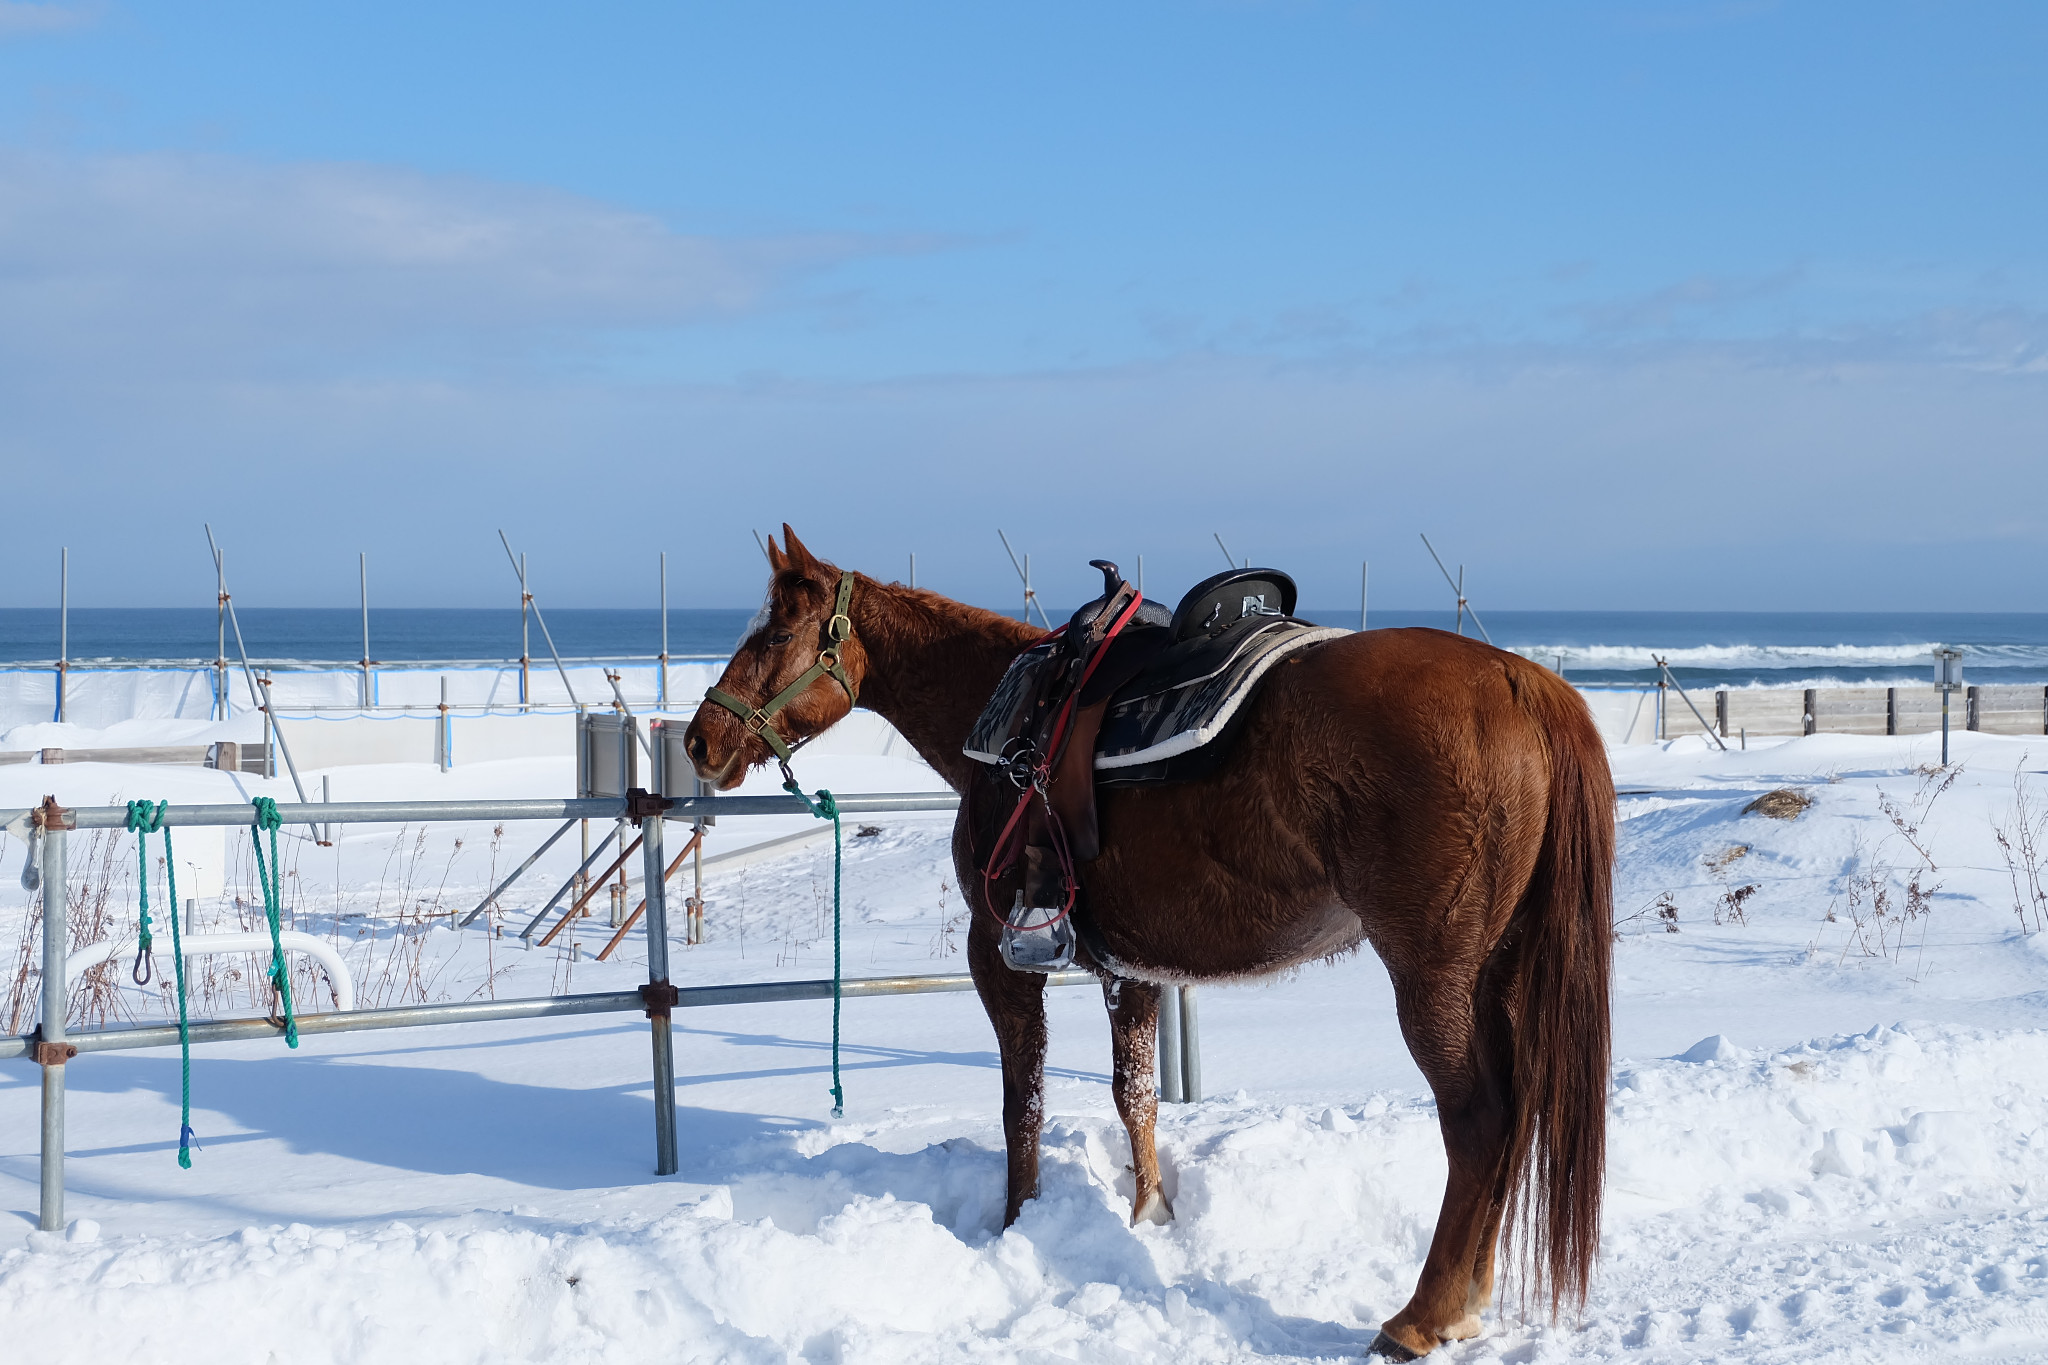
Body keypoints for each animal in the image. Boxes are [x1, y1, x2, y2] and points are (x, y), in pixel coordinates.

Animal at [688, 527, 1613, 1358]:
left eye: (774, 635)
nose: (701, 737)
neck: (1008, 714)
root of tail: (1521, 682)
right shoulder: (1128, 965)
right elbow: (1134, 1093)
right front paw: (1151, 1217)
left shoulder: (999, 955)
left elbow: (1022, 1101)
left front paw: (1019, 1221)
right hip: (1496, 970)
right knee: (1515, 1113)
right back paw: (1469, 1294)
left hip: (1432, 975)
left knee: (1479, 1118)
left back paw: (1423, 1315)